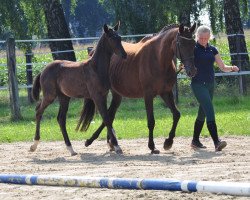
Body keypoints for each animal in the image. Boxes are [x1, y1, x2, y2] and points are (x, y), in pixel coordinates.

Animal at [29, 22, 127, 155]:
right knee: (39, 111)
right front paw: (116, 146)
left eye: (120, 38)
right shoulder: (97, 96)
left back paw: (71, 148)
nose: (124, 55)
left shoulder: (104, 95)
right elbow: (106, 118)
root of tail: (43, 70)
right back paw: (34, 145)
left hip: (64, 97)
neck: (96, 68)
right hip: (50, 96)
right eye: (111, 38)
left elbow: (108, 117)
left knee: (61, 119)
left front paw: (112, 144)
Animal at [78, 23, 197, 153]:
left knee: (109, 115)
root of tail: (92, 52)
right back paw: (100, 141)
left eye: (193, 44)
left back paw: (109, 143)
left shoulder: (166, 92)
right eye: (181, 44)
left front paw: (168, 142)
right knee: (107, 115)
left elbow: (176, 114)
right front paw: (152, 146)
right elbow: (151, 121)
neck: (158, 59)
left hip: (117, 95)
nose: (192, 71)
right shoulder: (148, 95)